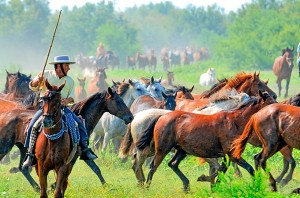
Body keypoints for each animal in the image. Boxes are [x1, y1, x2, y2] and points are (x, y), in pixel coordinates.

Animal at [135, 90, 276, 191]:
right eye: (270, 102)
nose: (278, 111)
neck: (235, 122)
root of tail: (162, 116)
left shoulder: (226, 156)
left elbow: (221, 170)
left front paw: (214, 186)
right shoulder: (232, 155)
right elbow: (249, 169)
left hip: (182, 151)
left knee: (173, 164)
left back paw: (186, 186)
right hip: (162, 149)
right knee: (152, 167)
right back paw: (147, 188)